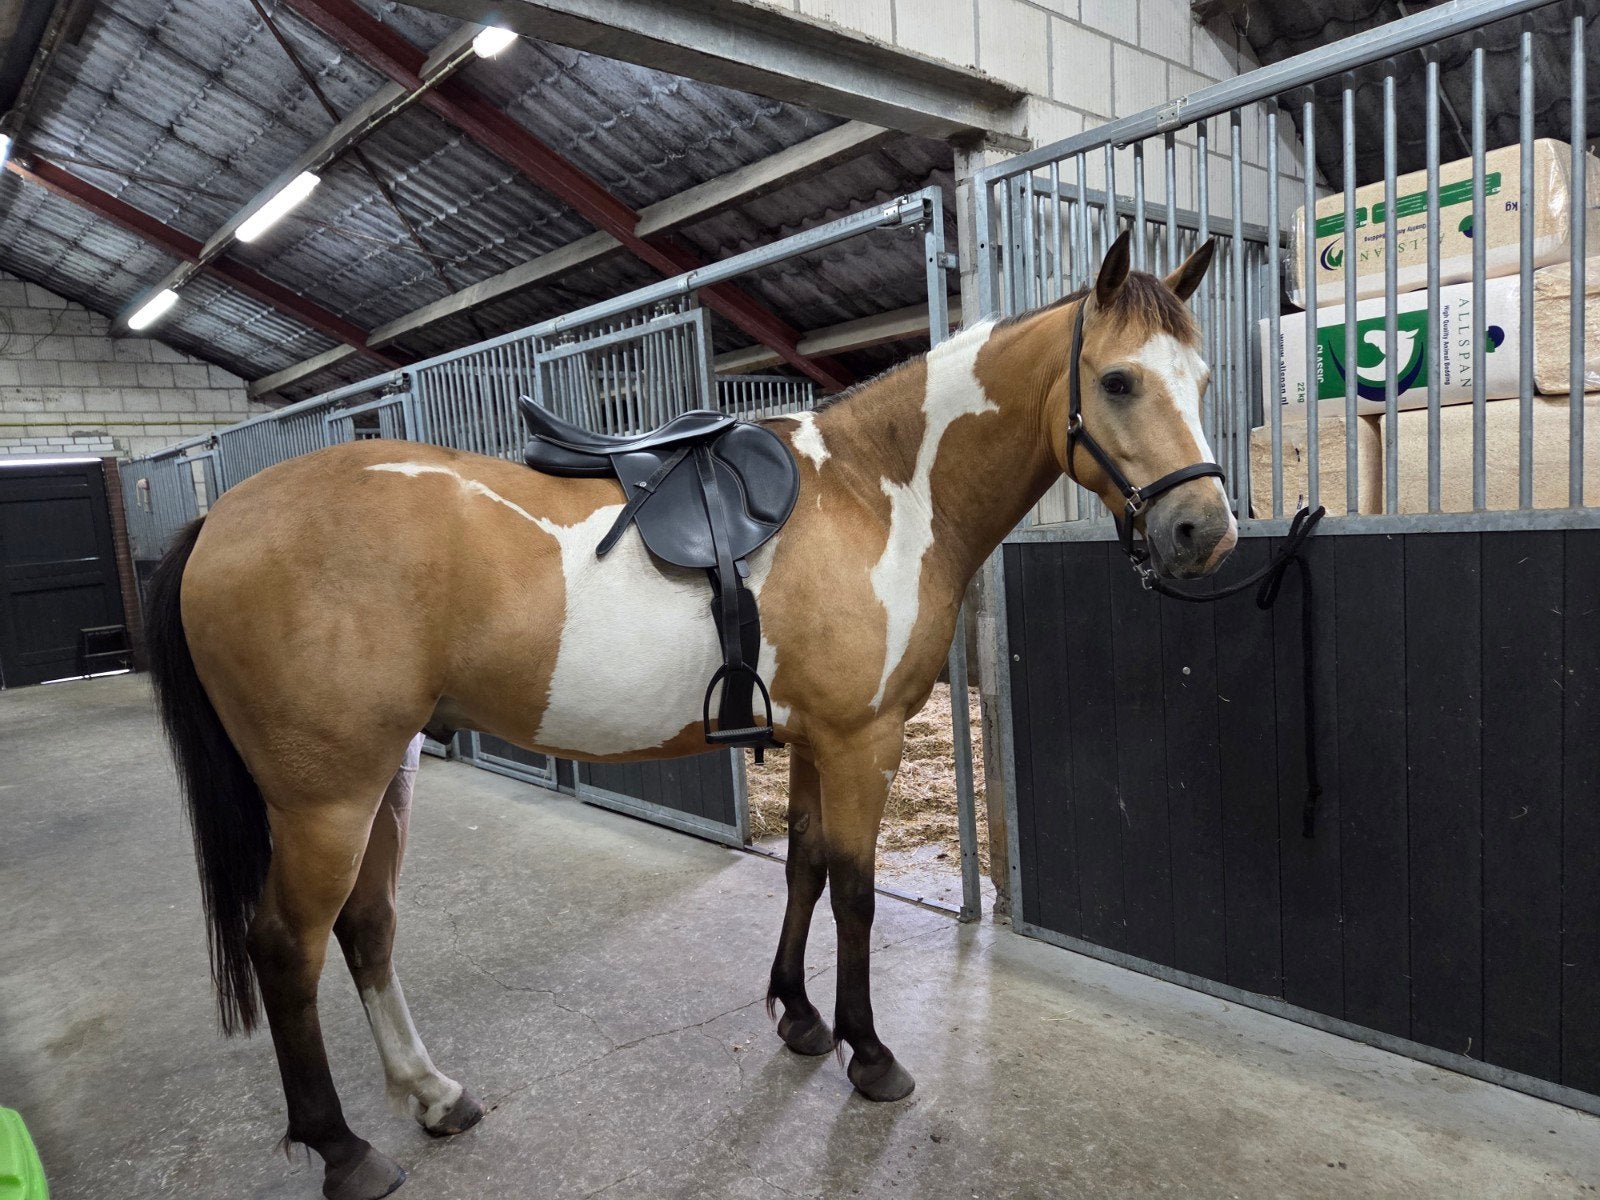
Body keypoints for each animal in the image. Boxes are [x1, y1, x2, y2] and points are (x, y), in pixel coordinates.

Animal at [142, 231, 1236, 1200]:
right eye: (1118, 381)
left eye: (1200, 378)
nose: (1204, 532)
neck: (877, 491)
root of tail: (223, 517)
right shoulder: (863, 741)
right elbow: (853, 894)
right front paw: (869, 1053)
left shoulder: (814, 740)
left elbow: (801, 869)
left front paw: (798, 1017)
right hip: (325, 798)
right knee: (288, 947)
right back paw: (343, 1149)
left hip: (384, 778)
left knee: (366, 927)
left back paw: (434, 1095)